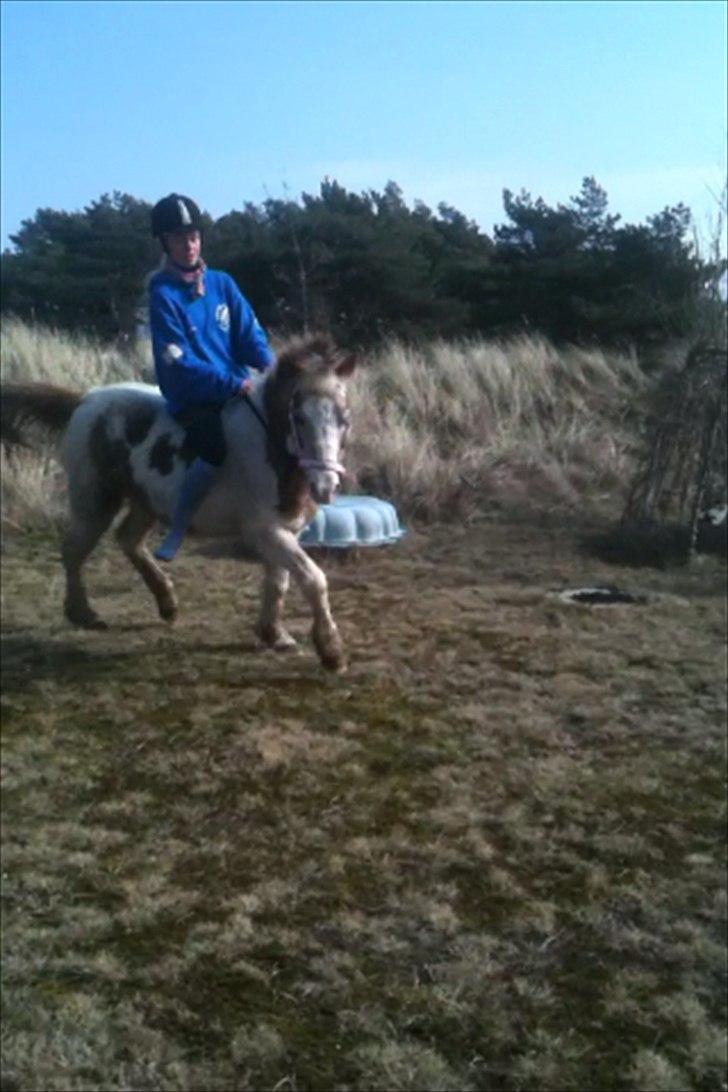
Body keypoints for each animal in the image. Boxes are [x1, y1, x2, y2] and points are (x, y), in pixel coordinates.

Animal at [1, 333, 356, 671]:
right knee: (74, 549)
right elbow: (313, 579)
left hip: (146, 501)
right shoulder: (266, 531)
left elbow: (279, 581)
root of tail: (84, 400)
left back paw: (167, 603)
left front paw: (274, 634)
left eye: (344, 419)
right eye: (299, 417)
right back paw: (84, 613)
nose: (326, 486)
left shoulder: (284, 531)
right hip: (95, 501)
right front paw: (332, 652)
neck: (268, 443)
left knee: (128, 540)